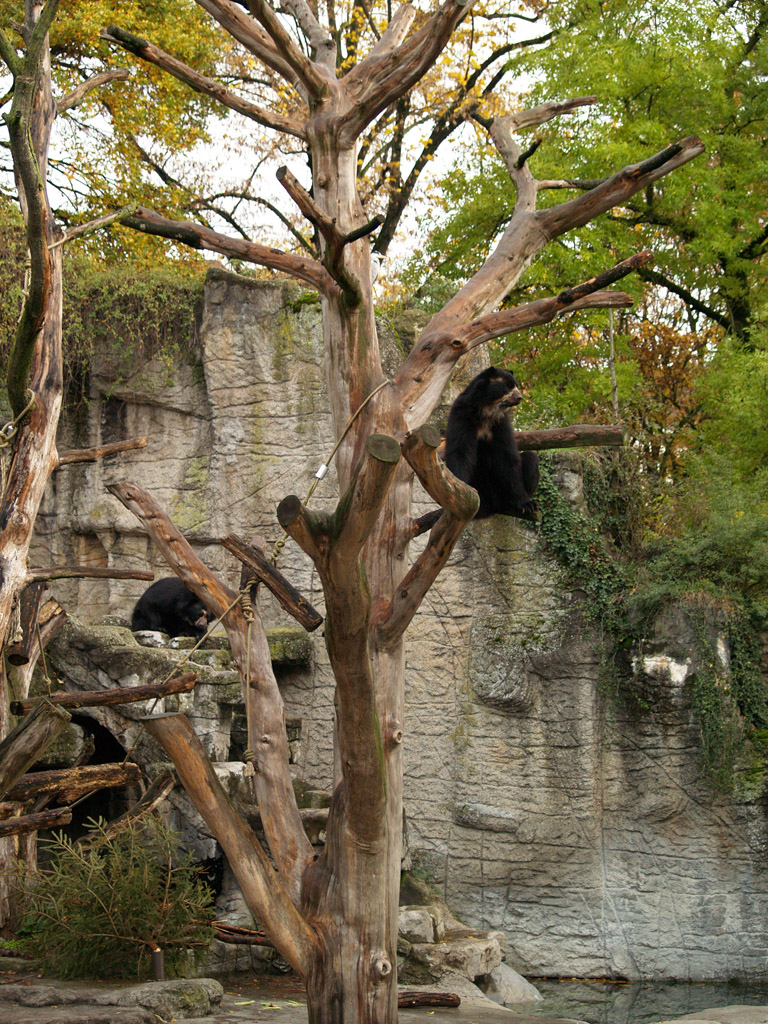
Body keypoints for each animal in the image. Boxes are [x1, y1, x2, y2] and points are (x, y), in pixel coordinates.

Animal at [444, 365, 539, 520]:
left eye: (516, 385)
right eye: (508, 386)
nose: (519, 397)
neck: (486, 410)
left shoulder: (500, 424)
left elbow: (508, 457)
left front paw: (527, 504)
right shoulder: (462, 416)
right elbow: (460, 452)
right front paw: (461, 493)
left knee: (531, 458)